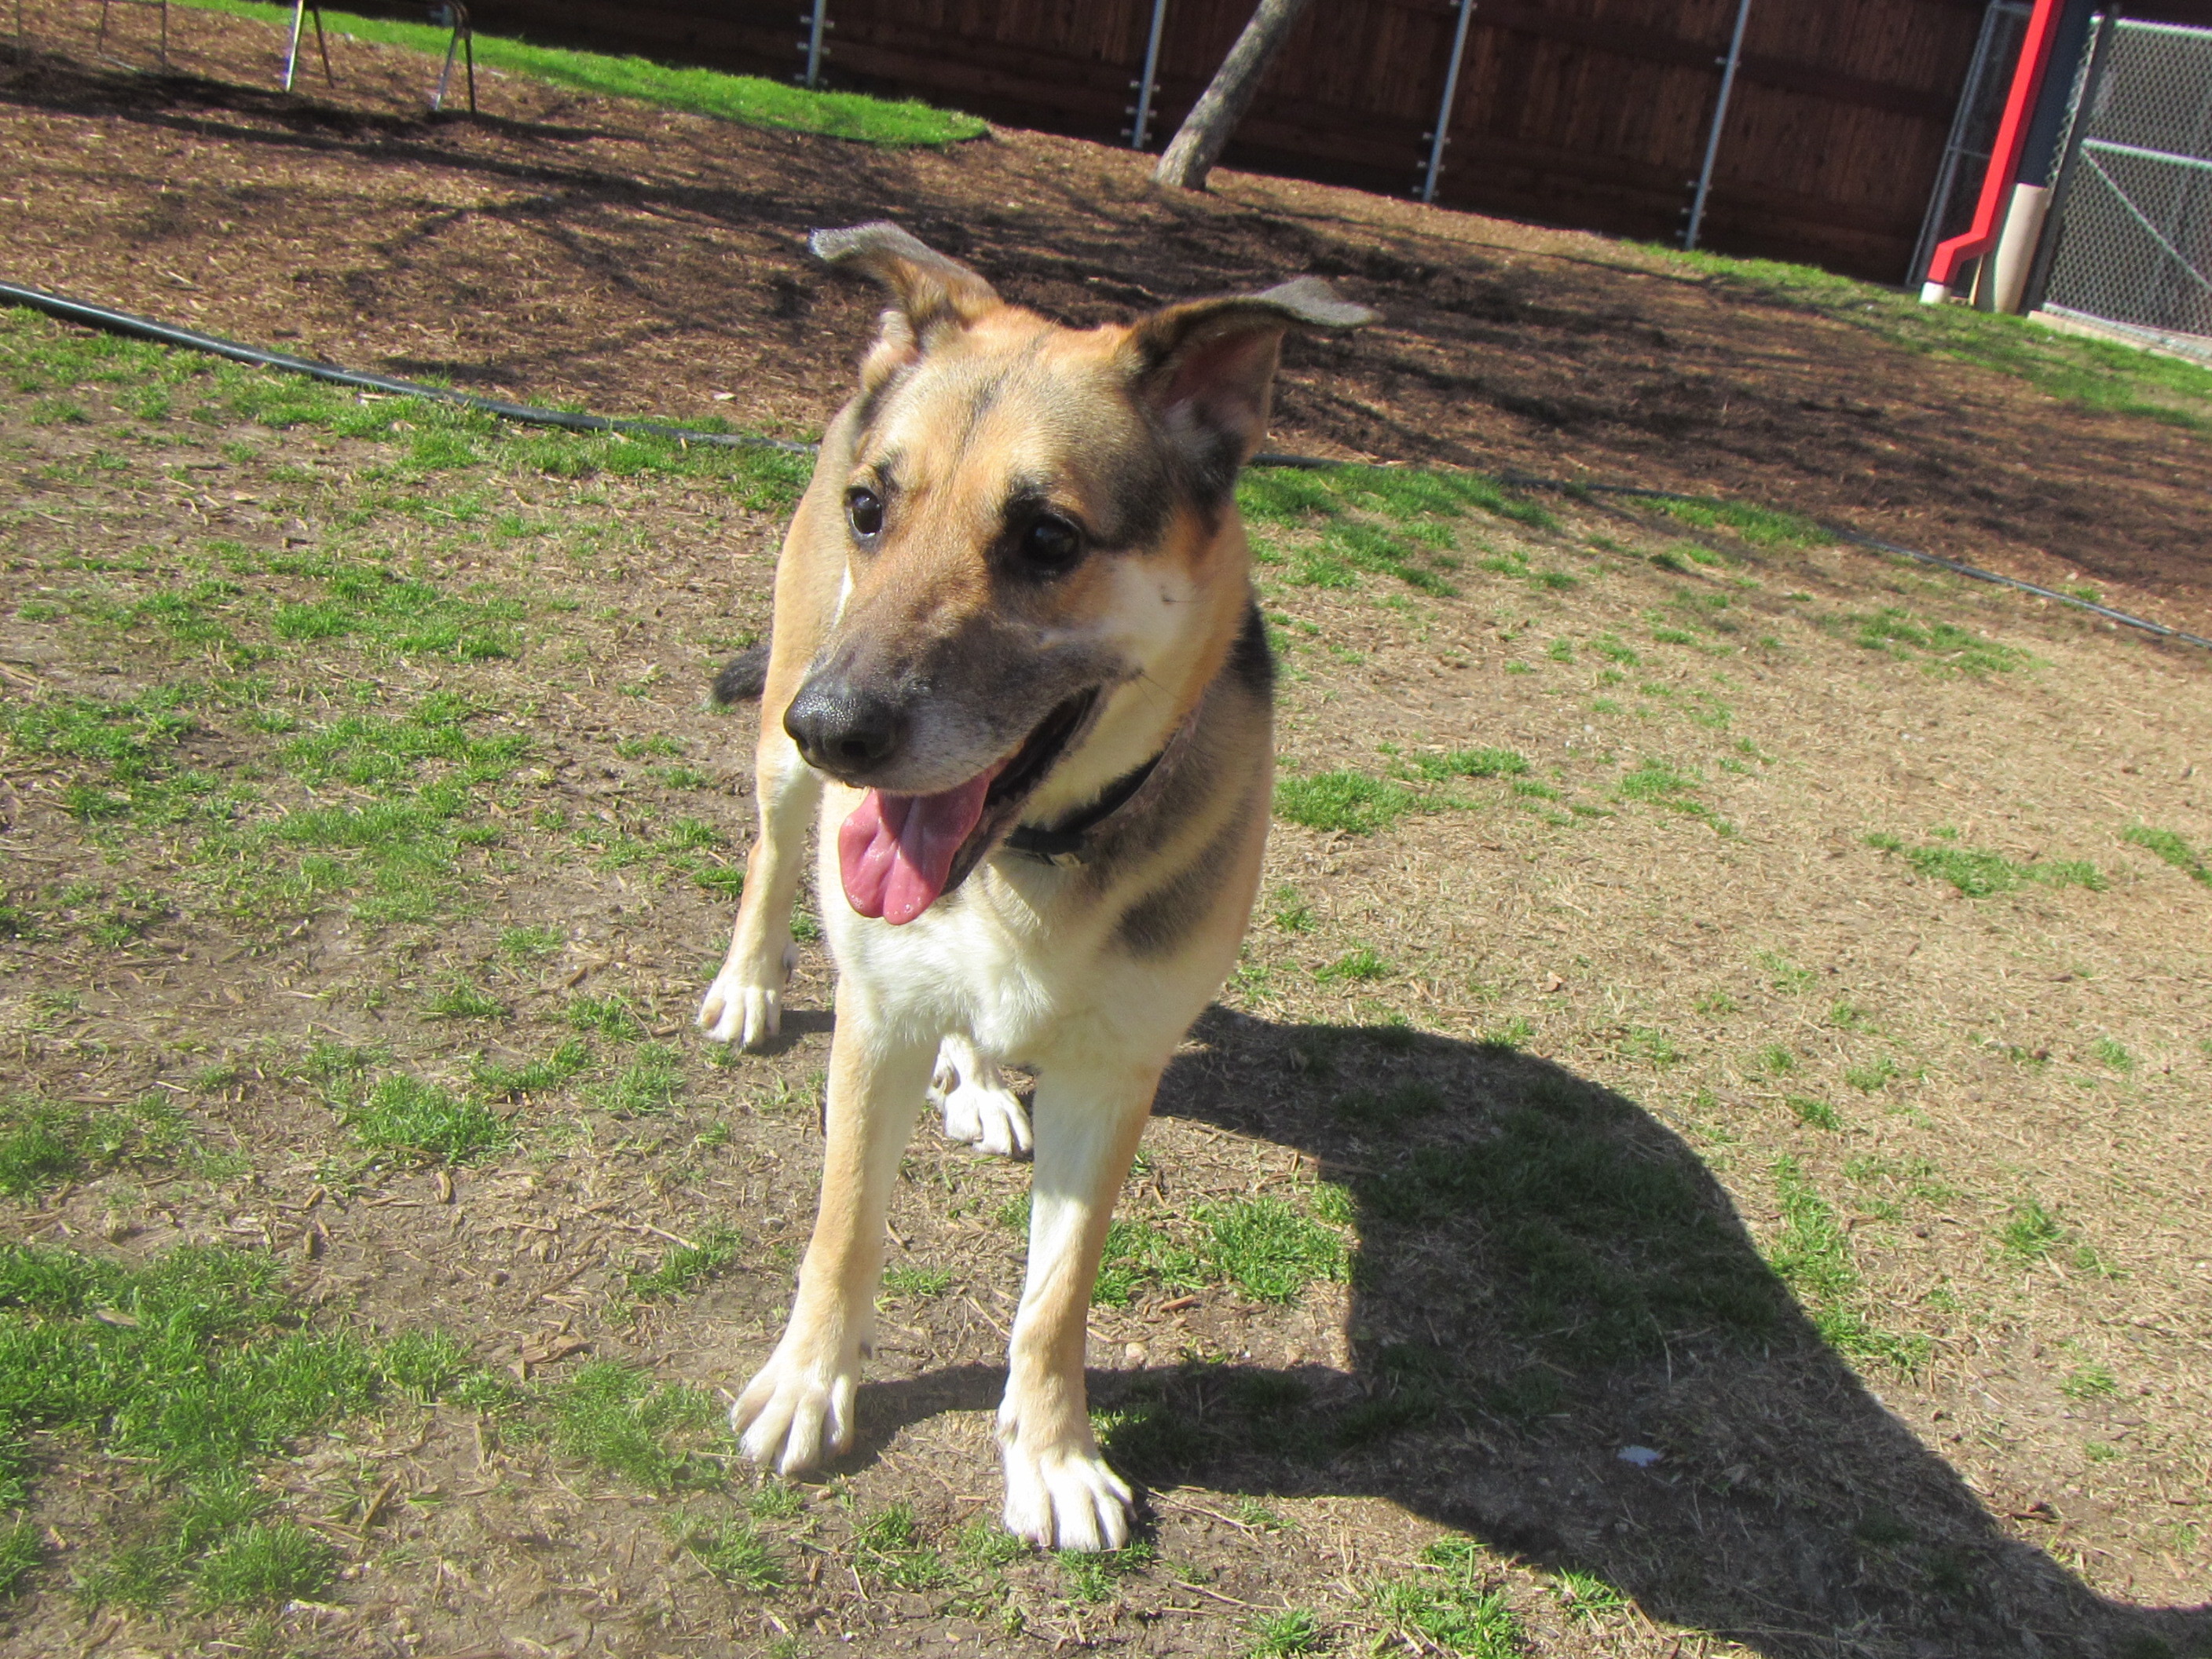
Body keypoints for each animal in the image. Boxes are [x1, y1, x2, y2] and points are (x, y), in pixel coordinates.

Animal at [698, 224, 1371, 1557]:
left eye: (1049, 540)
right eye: (872, 510)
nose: (833, 731)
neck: (1038, 854)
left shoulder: (1116, 1070)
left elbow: (1057, 1300)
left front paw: (1052, 1456)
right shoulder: (876, 1015)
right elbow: (843, 1230)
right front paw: (809, 1384)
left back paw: (978, 1080)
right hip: (785, 712)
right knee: (770, 853)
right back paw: (752, 985)